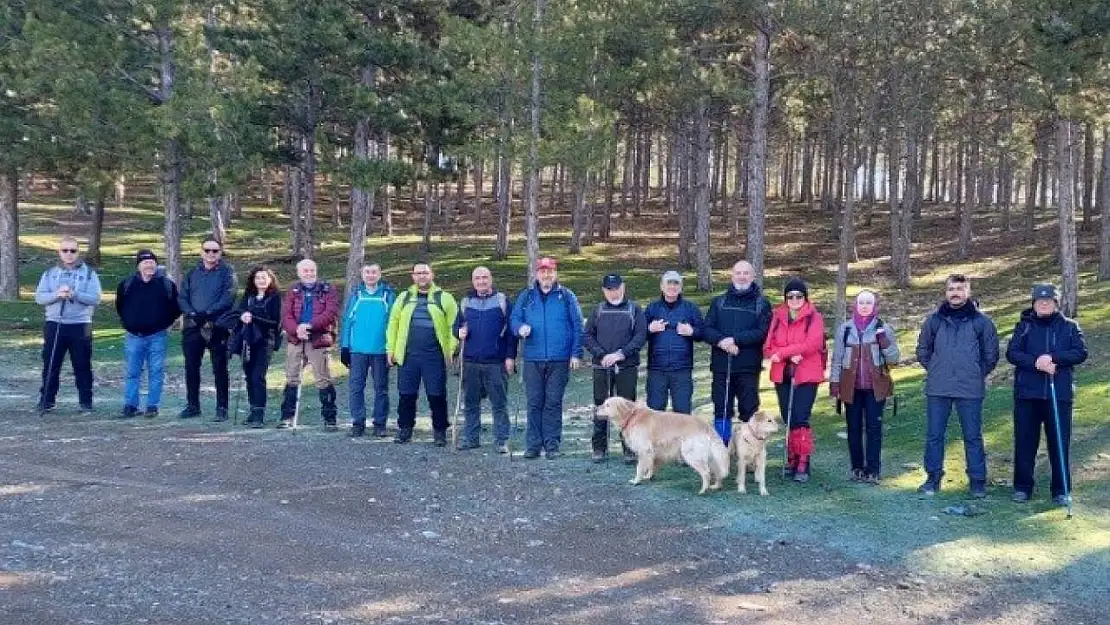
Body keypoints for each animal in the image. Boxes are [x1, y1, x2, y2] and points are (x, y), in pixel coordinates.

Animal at [599, 399, 728, 497]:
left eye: (607, 405)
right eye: (604, 403)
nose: (596, 408)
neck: (632, 416)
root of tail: (705, 424)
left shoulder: (644, 450)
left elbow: (639, 468)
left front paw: (636, 481)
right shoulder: (653, 452)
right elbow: (651, 465)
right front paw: (648, 476)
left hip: (692, 455)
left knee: (706, 473)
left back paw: (703, 490)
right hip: (710, 456)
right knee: (717, 471)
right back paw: (716, 486)